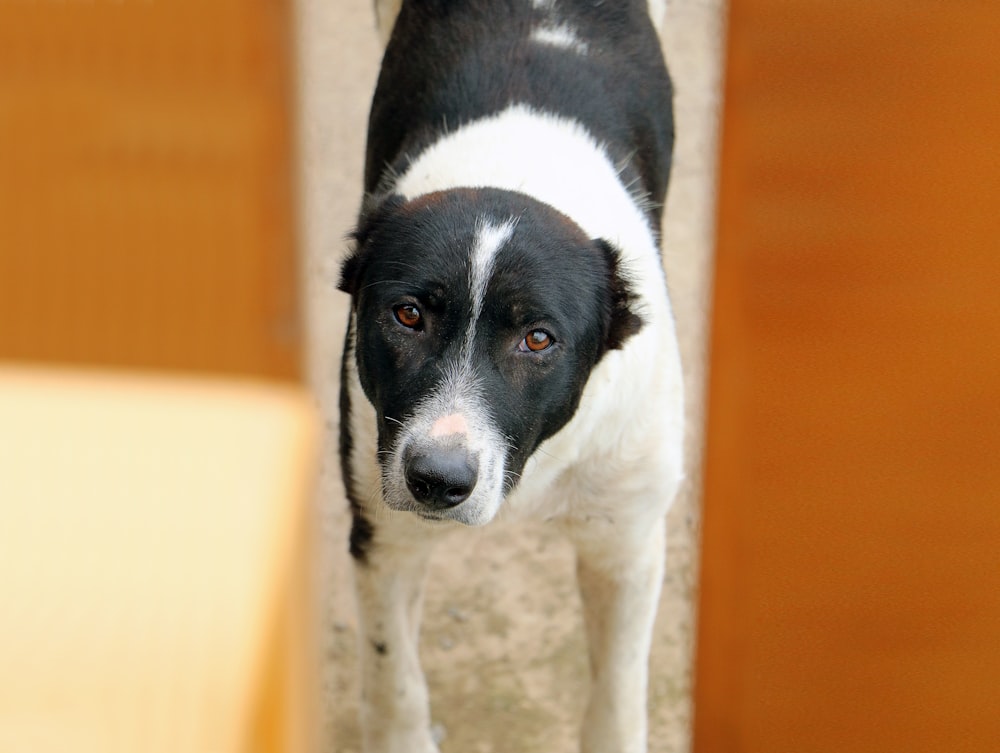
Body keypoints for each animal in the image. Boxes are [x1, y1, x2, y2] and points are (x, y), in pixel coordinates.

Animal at [340, 1, 684, 752]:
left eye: (538, 339)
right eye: (407, 314)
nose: (438, 480)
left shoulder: (627, 542)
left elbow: (617, 704)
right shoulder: (384, 533)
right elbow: (395, 683)